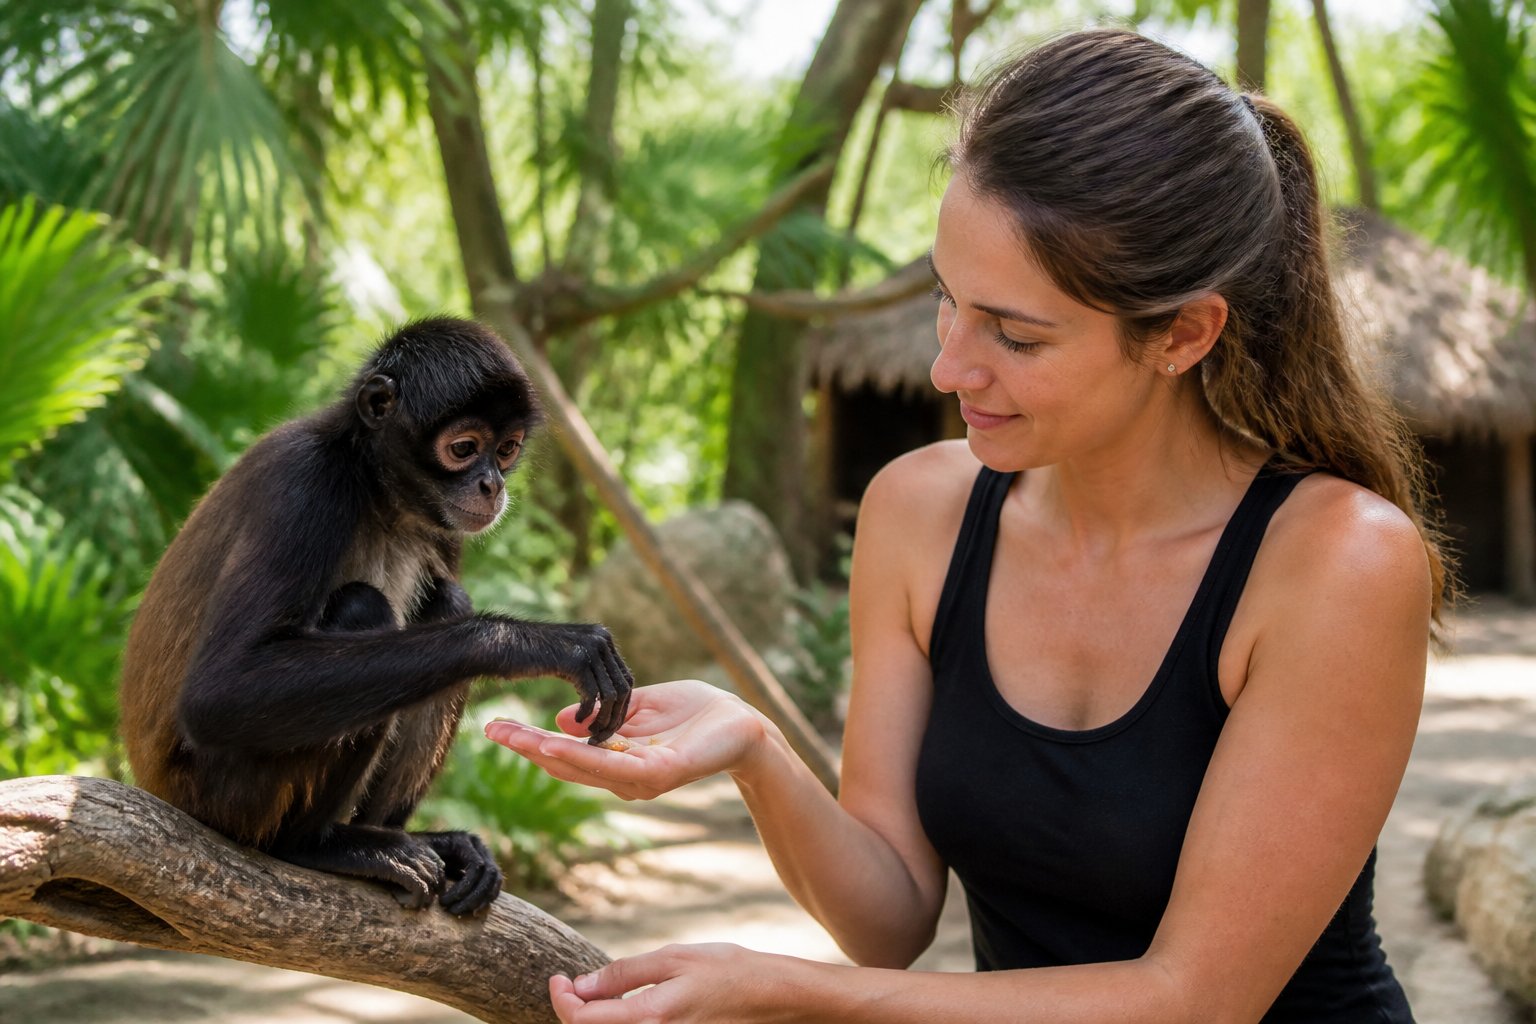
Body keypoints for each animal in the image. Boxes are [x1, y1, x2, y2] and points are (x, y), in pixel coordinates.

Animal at [119, 317, 633, 916]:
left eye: (506, 451)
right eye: (464, 448)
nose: (493, 485)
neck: (378, 490)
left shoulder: (446, 525)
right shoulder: (306, 481)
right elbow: (218, 692)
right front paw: (524, 644)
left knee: (446, 603)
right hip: (223, 794)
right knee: (364, 606)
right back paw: (308, 845)